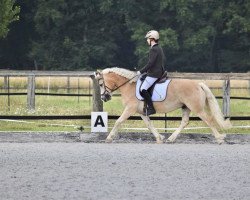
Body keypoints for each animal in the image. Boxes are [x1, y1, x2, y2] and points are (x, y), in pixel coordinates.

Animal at [94, 67, 231, 144]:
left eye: (100, 84)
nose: (104, 98)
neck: (129, 85)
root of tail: (198, 84)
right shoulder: (142, 112)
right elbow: (149, 125)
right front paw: (159, 137)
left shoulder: (129, 109)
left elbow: (118, 121)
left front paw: (109, 138)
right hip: (186, 107)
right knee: (185, 122)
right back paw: (171, 138)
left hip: (197, 108)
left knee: (209, 120)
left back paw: (219, 138)